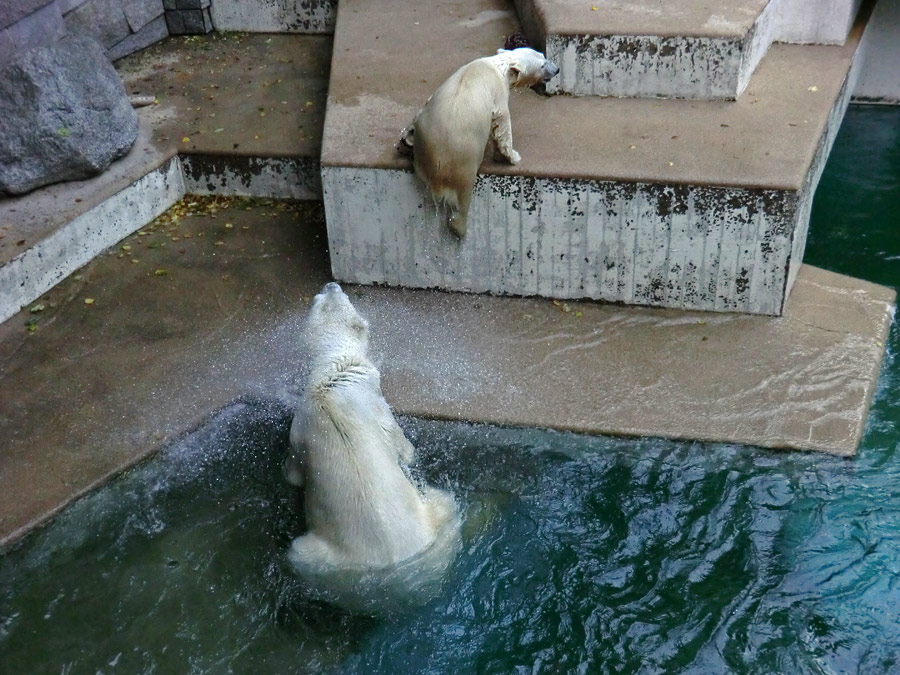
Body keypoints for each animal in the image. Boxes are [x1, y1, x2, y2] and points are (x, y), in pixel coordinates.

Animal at [414, 47, 556, 239]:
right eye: (542, 64)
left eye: (543, 55)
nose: (556, 69)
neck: (498, 66)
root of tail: (438, 162)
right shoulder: (498, 93)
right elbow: (502, 122)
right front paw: (512, 156)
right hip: (465, 158)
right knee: (464, 194)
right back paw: (459, 227)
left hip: (422, 147)